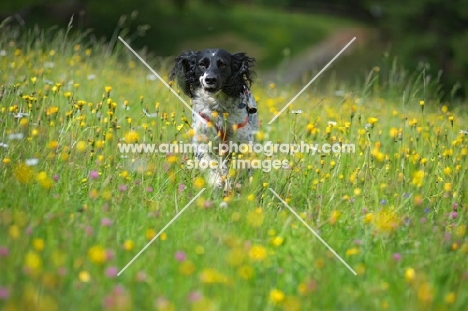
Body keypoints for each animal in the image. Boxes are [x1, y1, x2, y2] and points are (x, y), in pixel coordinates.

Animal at [171, 48, 260, 193]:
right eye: (202, 64)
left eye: (222, 64)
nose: (210, 79)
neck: (218, 108)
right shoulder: (202, 140)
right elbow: (209, 163)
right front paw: (216, 182)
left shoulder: (243, 143)